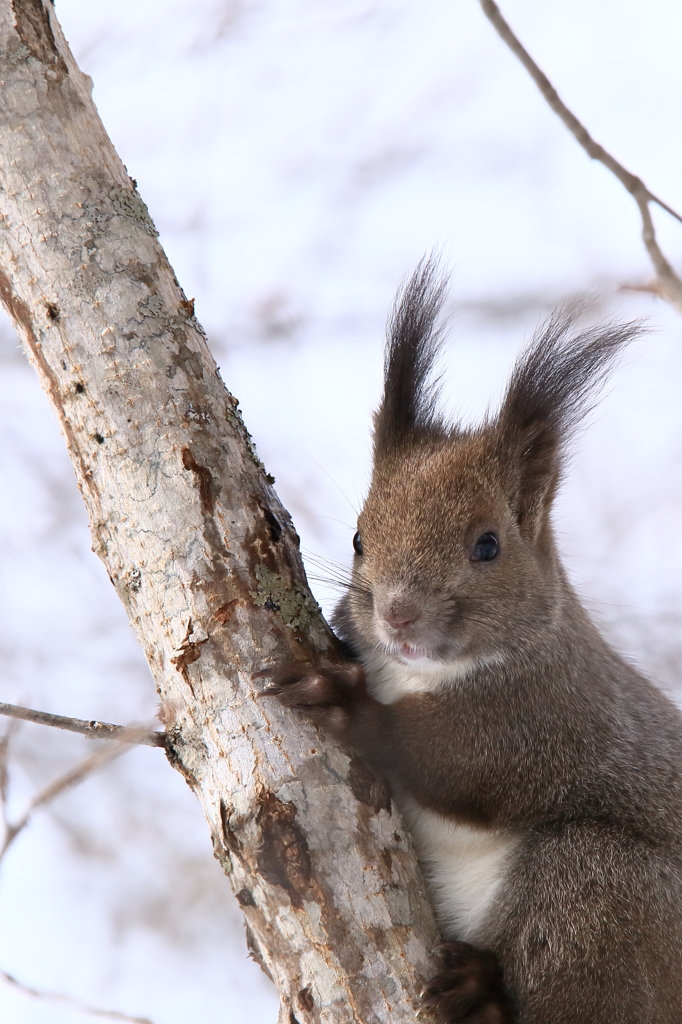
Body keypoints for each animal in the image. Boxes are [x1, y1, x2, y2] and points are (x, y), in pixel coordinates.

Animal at [258, 260, 679, 1019]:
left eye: (488, 545)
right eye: (359, 538)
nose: (398, 615)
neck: (419, 673)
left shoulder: (548, 714)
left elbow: (459, 760)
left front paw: (343, 703)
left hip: (605, 890)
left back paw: (482, 994)